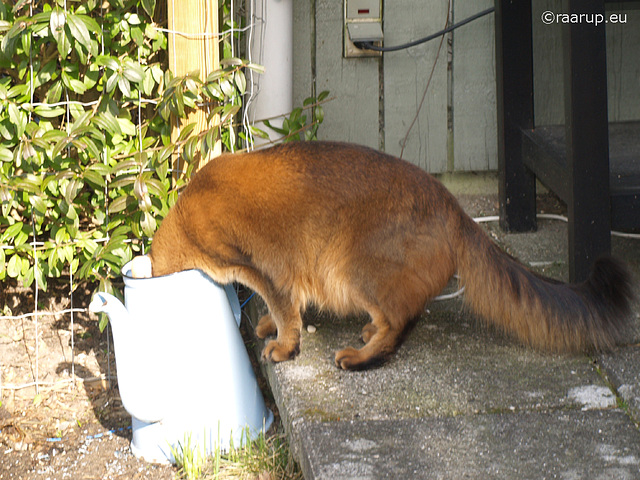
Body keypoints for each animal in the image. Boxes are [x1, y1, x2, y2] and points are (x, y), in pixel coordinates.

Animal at [149, 141, 636, 370]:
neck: (185, 215)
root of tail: (453, 207)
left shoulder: (270, 270)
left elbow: (287, 313)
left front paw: (283, 346)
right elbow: (285, 309)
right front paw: (270, 325)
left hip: (350, 267)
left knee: (401, 323)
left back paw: (360, 357)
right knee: (401, 314)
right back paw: (367, 334)